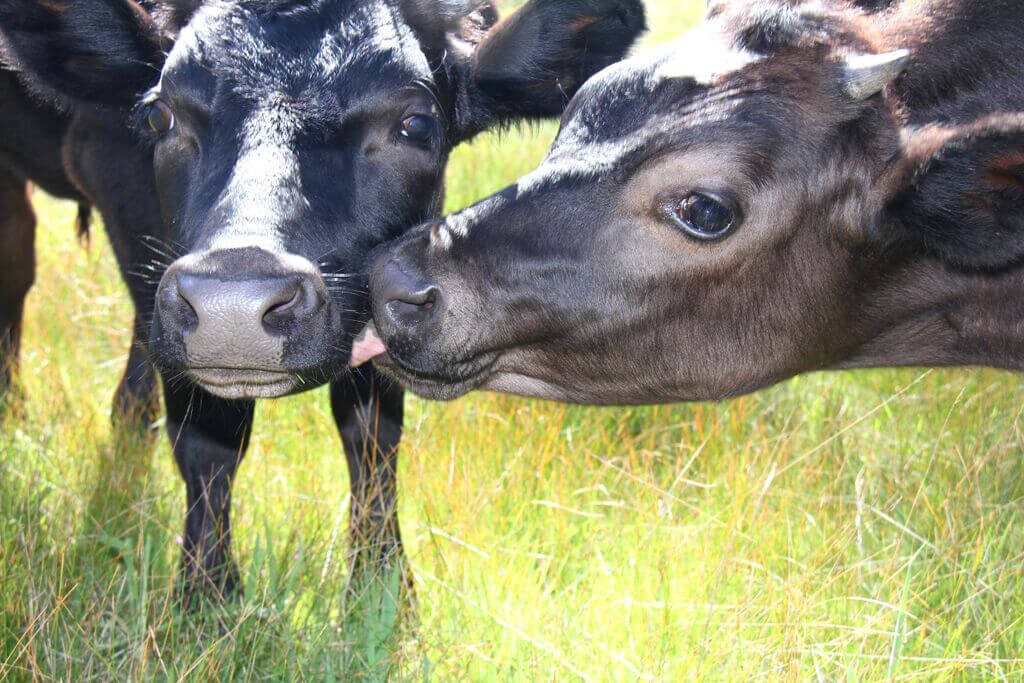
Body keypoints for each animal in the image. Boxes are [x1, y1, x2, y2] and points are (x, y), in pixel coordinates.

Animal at [0, 0, 643, 602]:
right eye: (159, 115)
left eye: (415, 124)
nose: (233, 305)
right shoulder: (115, 179)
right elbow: (207, 443)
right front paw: (206, 599)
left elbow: (373, 436)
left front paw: (384, 593)